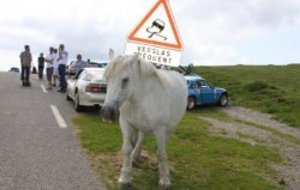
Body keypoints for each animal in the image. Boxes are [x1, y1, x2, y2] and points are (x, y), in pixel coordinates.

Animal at [102, 49, 188, 189]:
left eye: (125, 80)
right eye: (107, 78)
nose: (107, 112)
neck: (142, 98)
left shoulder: (159, 129)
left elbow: (161, 154)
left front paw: (165, 180)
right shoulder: (125, 123)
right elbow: (127, 149)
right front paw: (124, 178)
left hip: (169, 129)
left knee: (162, 145)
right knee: (141, 137)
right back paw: (135, 156)